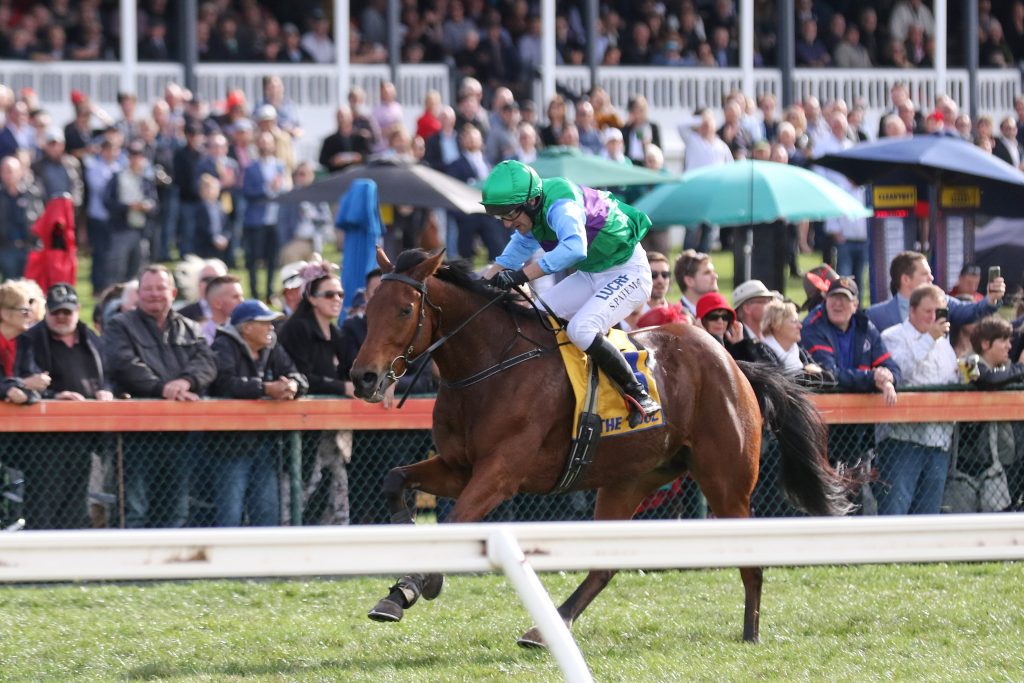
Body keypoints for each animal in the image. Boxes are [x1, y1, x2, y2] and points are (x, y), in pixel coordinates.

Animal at [350, 248, 853, 645]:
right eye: (369, 310)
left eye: (403, 310)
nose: (364, 377)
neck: (491, 365)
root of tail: (733, 361)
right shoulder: (458, 466)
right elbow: (394, 480)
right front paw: (402, 577)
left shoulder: (500, 474)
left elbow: (456, 520)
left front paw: (416, 584)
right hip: (629, 481)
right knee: (604, 567)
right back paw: (546, 628)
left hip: (725, 483)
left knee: (751, 560)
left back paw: (751, 632)